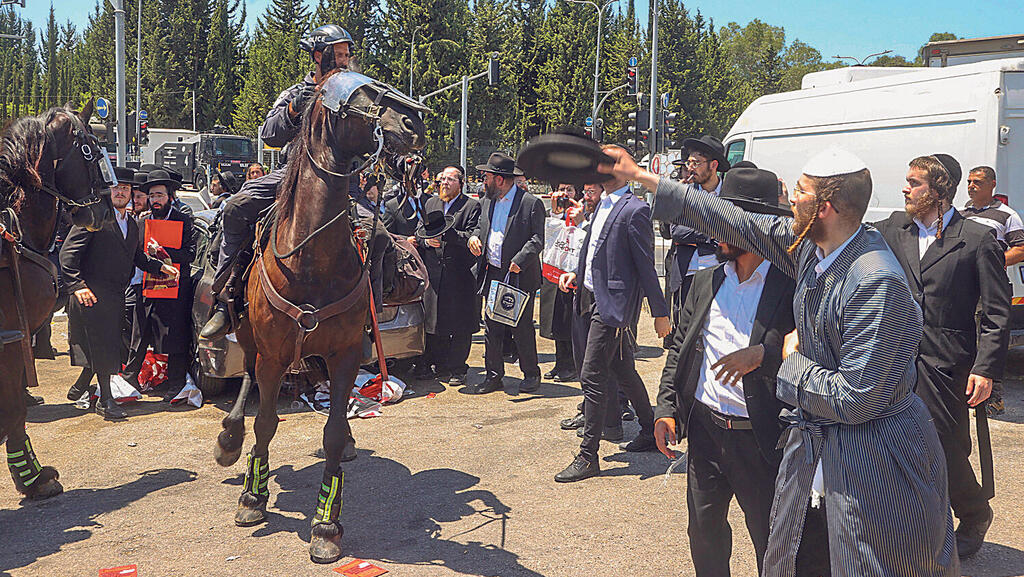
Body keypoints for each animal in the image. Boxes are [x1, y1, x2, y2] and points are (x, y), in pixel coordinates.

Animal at [214, 72, 425, 565]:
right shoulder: (273, 355)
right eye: (361, 96)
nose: (414, 124)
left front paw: (327, 524)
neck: (309, 259)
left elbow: (331, 433)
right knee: (245, 378)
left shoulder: (344, 353)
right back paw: (230, 438)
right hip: (249, 338)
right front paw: (252, 496)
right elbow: (266, 422)